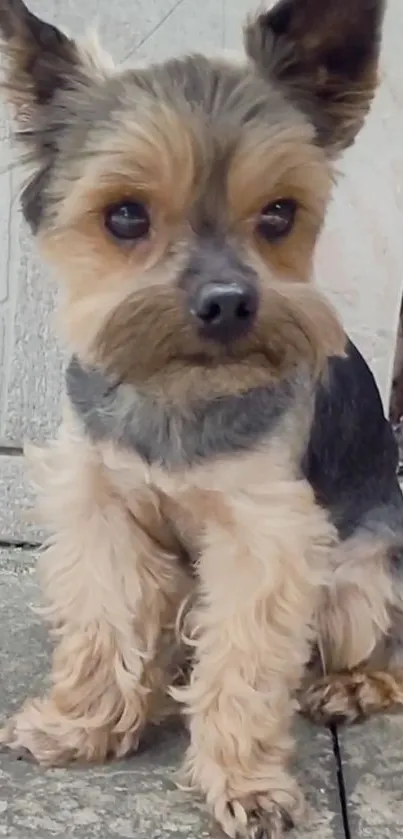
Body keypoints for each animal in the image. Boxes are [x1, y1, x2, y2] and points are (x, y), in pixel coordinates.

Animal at [0, 0, 403, 836]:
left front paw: (245, 784)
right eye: (124, 216)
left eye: (279, 214)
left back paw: (350, 685)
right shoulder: (102, 501)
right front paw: (81, 725)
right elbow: (103, 616)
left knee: (384, 648)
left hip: (359, 578)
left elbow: (245, 659)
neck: (178, 389)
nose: (226, 303)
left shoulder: (266, 533)